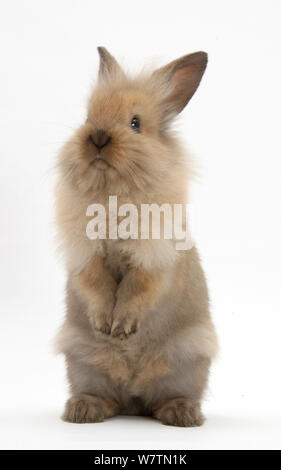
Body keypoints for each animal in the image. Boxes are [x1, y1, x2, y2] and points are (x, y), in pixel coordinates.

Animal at [54, 46, 217, 426]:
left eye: (135, 124)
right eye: (88, 116)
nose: (98, 137)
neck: (114, 192)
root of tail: (134, 394)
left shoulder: (153, 260)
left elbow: (135, 289)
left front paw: (122, 328)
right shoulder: (86, 258)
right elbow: (98, 286)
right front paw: (106, 326)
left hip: (187, 359)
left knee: (167, 396)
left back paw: (182, 413)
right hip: (81, 359)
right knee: (105, 395)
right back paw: (82, 410)